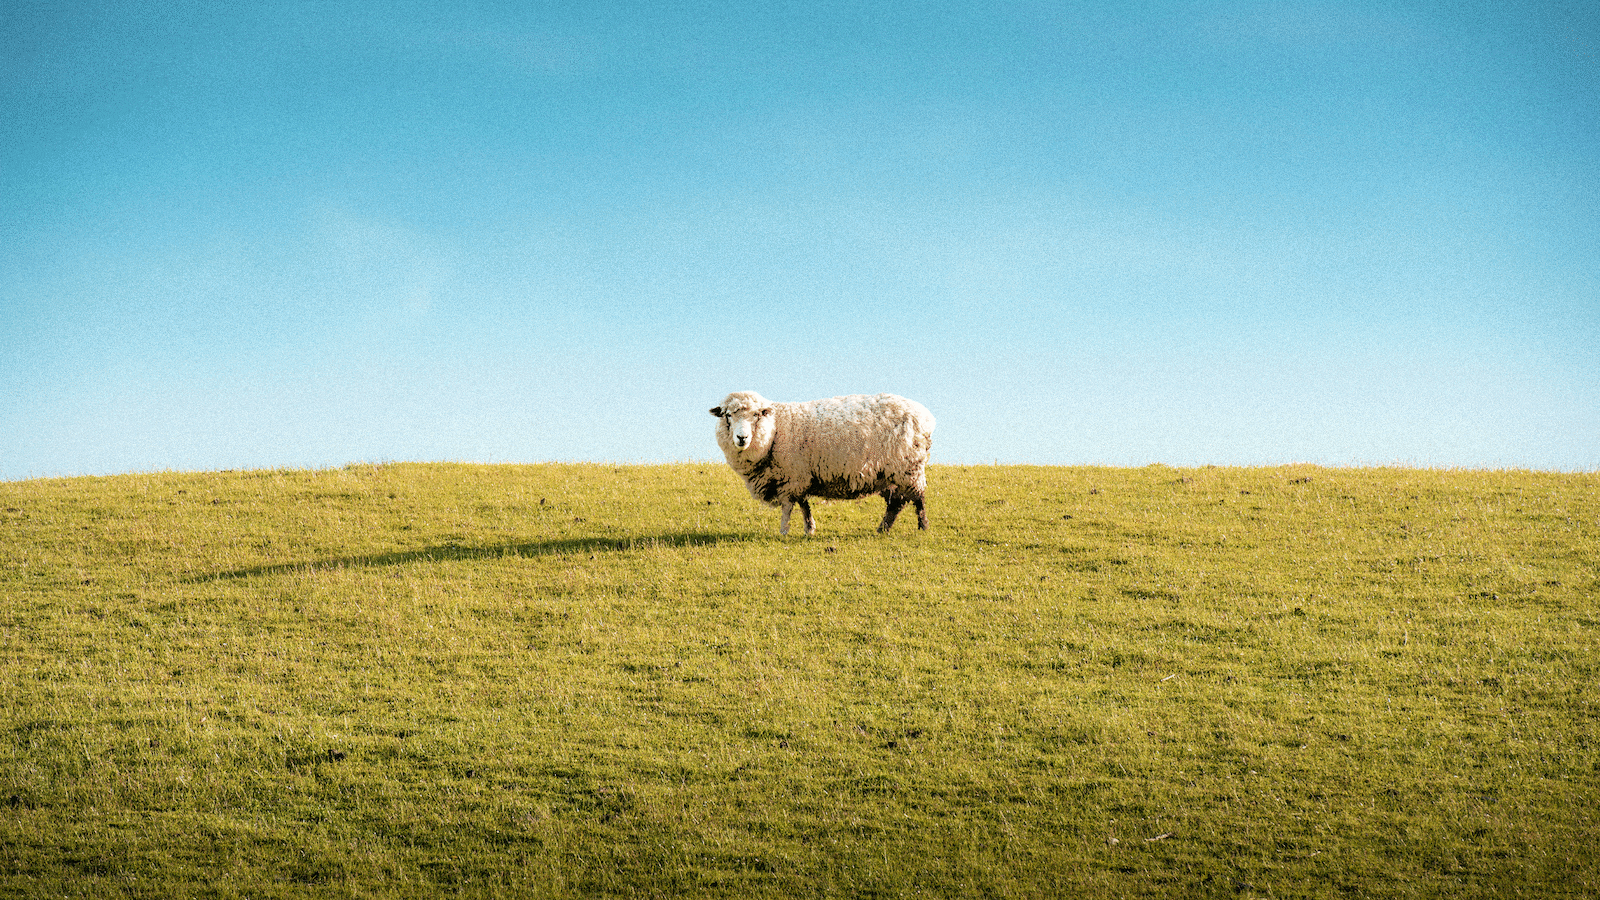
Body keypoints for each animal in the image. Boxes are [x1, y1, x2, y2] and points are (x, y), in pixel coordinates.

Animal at [710, 391, 936, 535]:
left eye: (756, 415)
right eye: (728, 415)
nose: (742, 438)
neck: (776, 428)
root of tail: (926, 416)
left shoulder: (791, 479)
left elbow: (788, 507)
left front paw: (783, 531)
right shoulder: (800, 477)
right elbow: (804, 505)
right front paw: (809, 529)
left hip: (909, 468)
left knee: (917, 498)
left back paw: (923, 527)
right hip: (891, 473)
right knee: (896, 503)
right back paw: (883, 529)